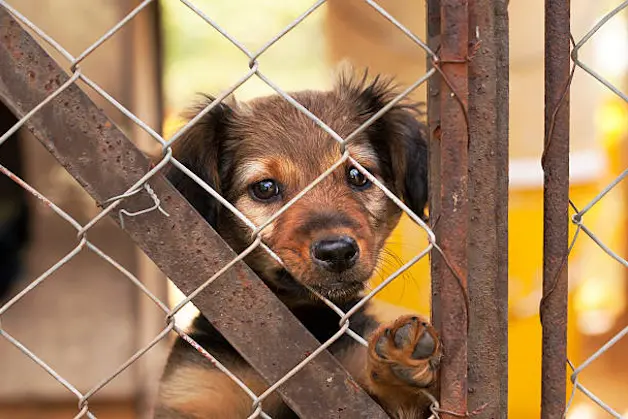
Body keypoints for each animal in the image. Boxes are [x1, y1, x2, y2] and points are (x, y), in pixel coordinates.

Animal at [156, 73, 442, 419]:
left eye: (357, 175)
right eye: (265, 188)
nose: (337, 252)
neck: (298, 318)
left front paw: (398, 367)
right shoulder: (194, 390)